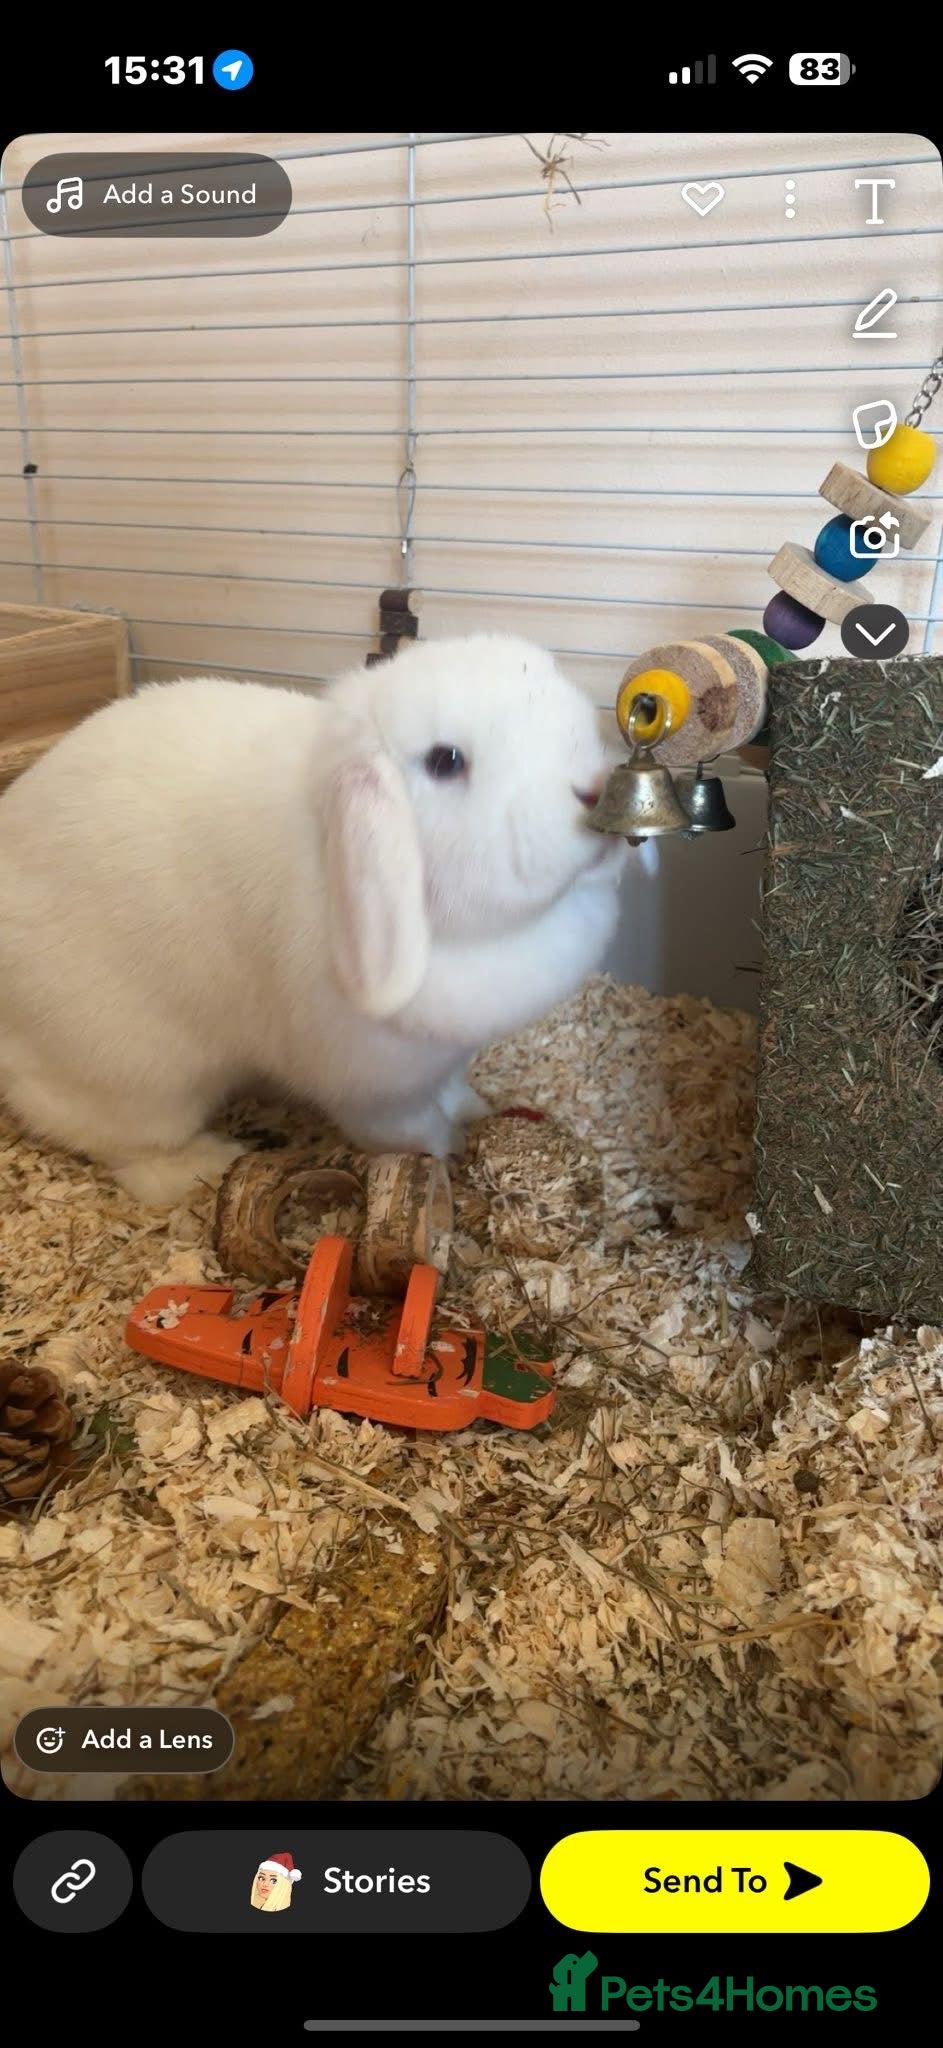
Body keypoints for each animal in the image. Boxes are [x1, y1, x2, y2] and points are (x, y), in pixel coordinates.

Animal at [0, 632, 628, 1204]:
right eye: (445, 760)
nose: (597, 789)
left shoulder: (444, 1061)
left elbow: (451, 1089)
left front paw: (475, 1107)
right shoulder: (377, 1088)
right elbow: (405, 1127)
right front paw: (446, 1145)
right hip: (139, 1075)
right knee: (117, 1139)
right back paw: (202, 1163)